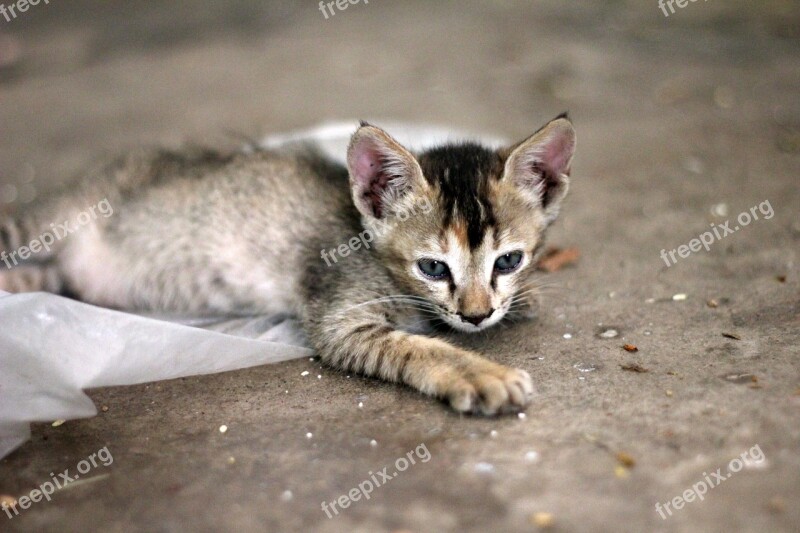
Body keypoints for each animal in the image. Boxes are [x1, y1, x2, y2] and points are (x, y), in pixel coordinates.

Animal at [0, 115, 576, 416]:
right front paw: (481, 375)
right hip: (40, 223)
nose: (478, 316)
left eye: (509, 260)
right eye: (433, 268)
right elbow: (417, 346)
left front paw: (522, 298)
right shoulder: (339, 319)